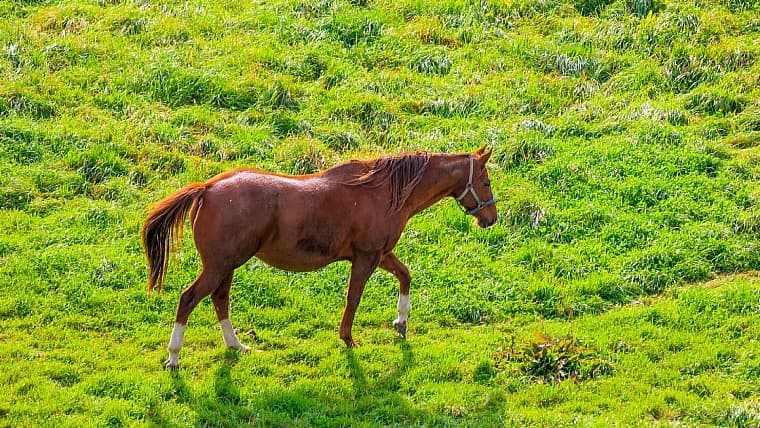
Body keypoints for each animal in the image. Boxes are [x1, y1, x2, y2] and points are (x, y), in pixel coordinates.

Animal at [142, 146, 497, 369]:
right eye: (486, 180)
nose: (490, 218)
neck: (383, 192)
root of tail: (208, 188)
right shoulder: (367, 258)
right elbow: (354, 298)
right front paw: (349, 339)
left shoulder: (381, 254)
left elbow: (405, 275)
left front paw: (400, 322)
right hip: (218, 266)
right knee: (189, 299)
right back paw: (174, 357)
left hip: (226, 266)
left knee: (220, 300)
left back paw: (237, 345)